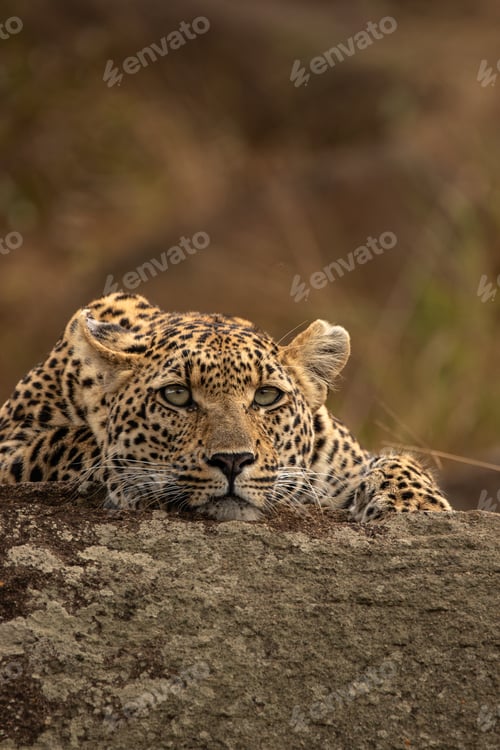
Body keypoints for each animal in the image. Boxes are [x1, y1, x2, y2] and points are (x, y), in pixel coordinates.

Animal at [0, 292, 452, 522]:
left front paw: (415, 506)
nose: (233, 461)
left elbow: (397, 462)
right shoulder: (10, 446)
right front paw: (126, 478)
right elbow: (74, 442)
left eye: (266, 396)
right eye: (176, 395)